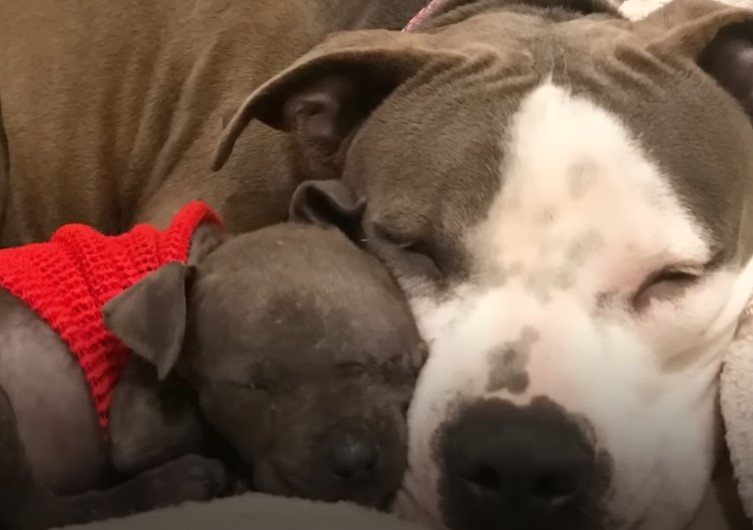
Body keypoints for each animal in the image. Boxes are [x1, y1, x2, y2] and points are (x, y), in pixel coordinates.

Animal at [0, 199, 426, 528]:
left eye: (398, 364)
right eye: (253, 389)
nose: (354, 459)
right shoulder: (135, 425)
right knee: (37, 511)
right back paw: (178, 482)